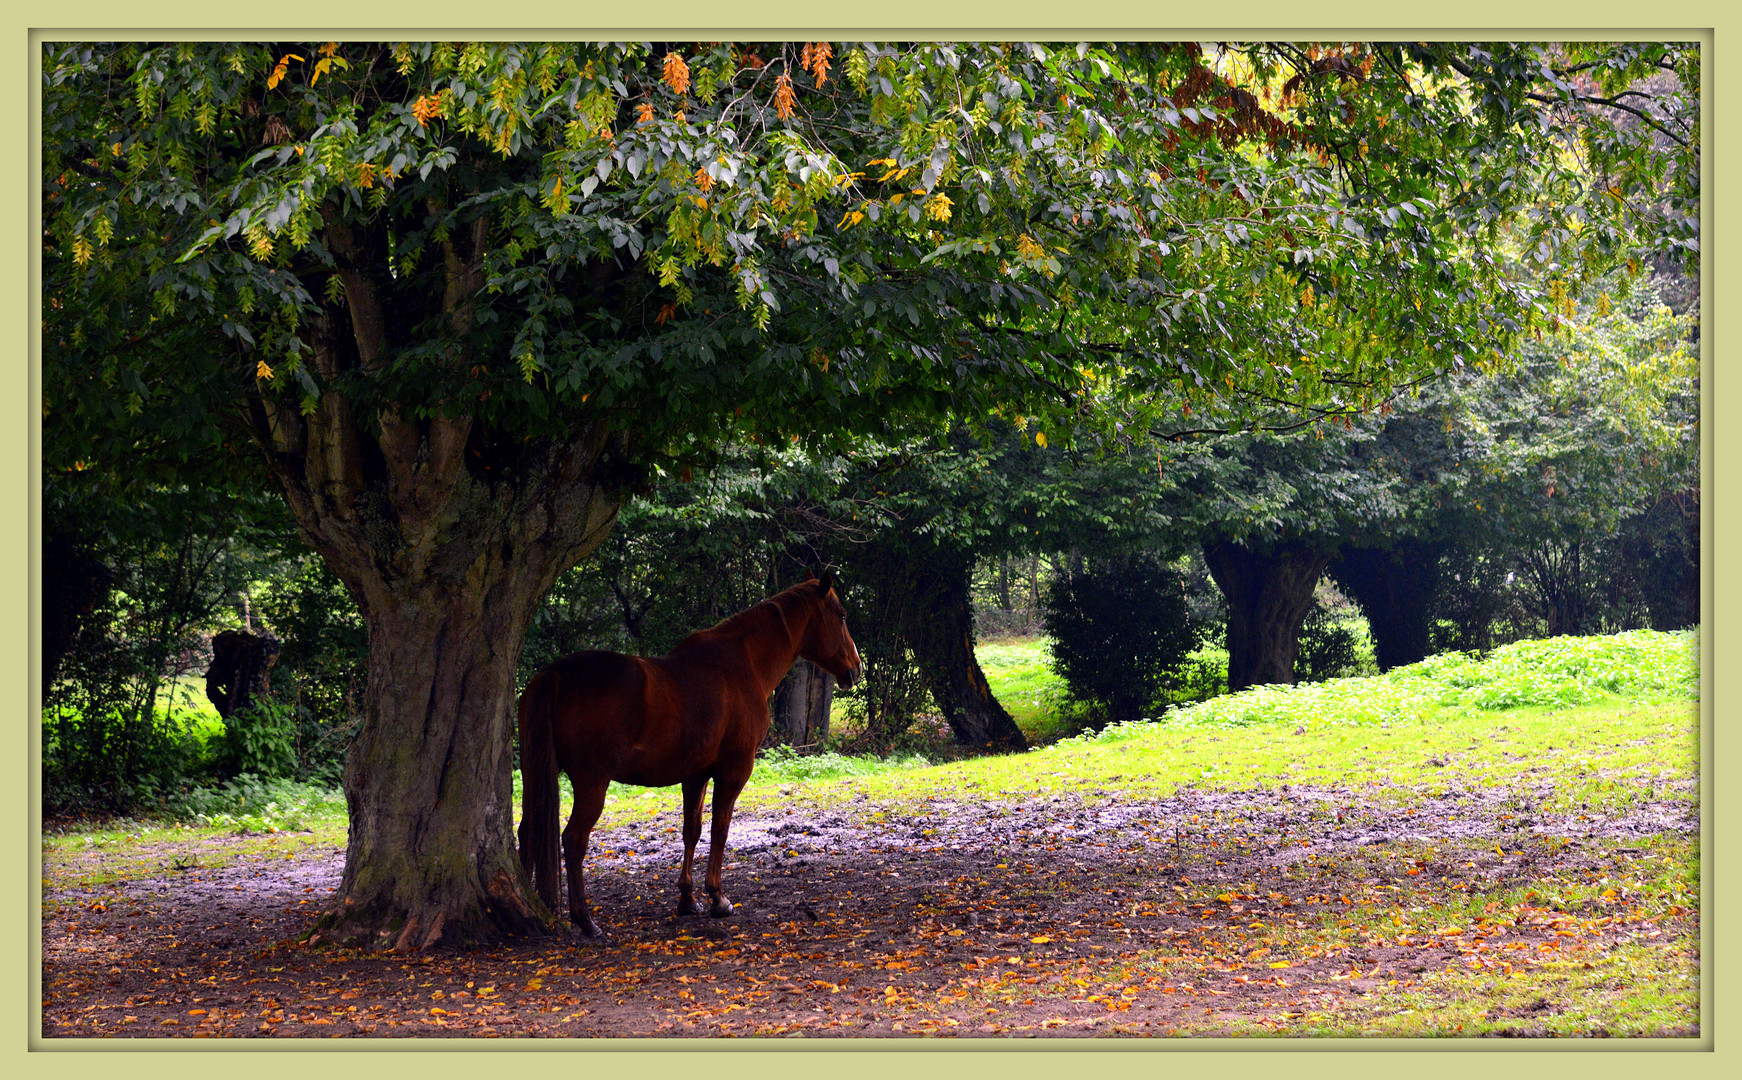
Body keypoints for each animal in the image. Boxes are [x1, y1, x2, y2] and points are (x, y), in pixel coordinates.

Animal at [519, 574, 867, 933]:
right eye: (841, 616)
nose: (857, 668)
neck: (744, 664)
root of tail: (554, 675)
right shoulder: (733, 771)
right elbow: (720, 829)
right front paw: (718, 898)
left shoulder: (695, 774)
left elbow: (692, 831)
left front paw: (687, 899)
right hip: (592, 783)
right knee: (573, 840)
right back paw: (585, 920)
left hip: (535, 775)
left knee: (526, 832)